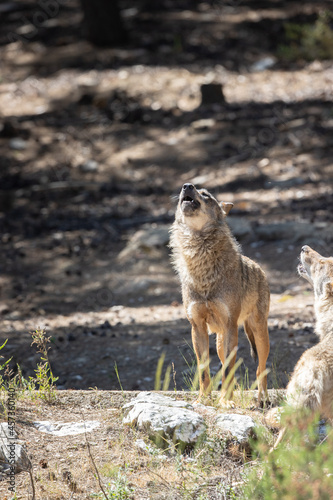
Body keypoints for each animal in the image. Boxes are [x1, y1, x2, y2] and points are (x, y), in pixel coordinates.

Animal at [170, 184, 268, 406]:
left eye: (205, 194)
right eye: (185, 189)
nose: (186, 186)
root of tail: (258, 267)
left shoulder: (231, 325)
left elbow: (230, 371)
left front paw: (225, 401)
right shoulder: (197, 327)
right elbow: (204, 370)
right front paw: (203, 399)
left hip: (258, 334)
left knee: (261, 368)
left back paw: (262, 399)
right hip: (221, 342)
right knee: (227, 367)